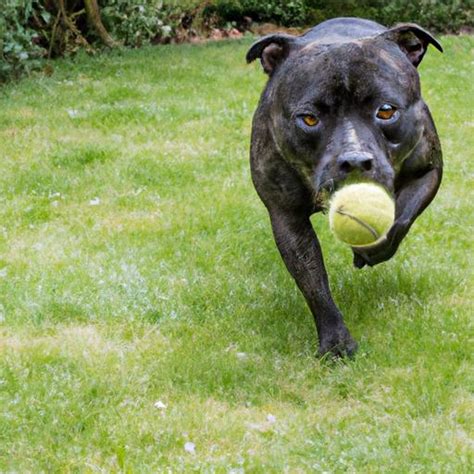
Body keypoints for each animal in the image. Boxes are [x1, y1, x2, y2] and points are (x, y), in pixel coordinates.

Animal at [246, 16, 442, 356]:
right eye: (309, 119)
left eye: (386, 111)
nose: (354, 160)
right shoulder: (287, 218)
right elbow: (314, 283)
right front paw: (336, 342)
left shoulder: (429, 171)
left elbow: (400, 218)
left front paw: (372, 249)